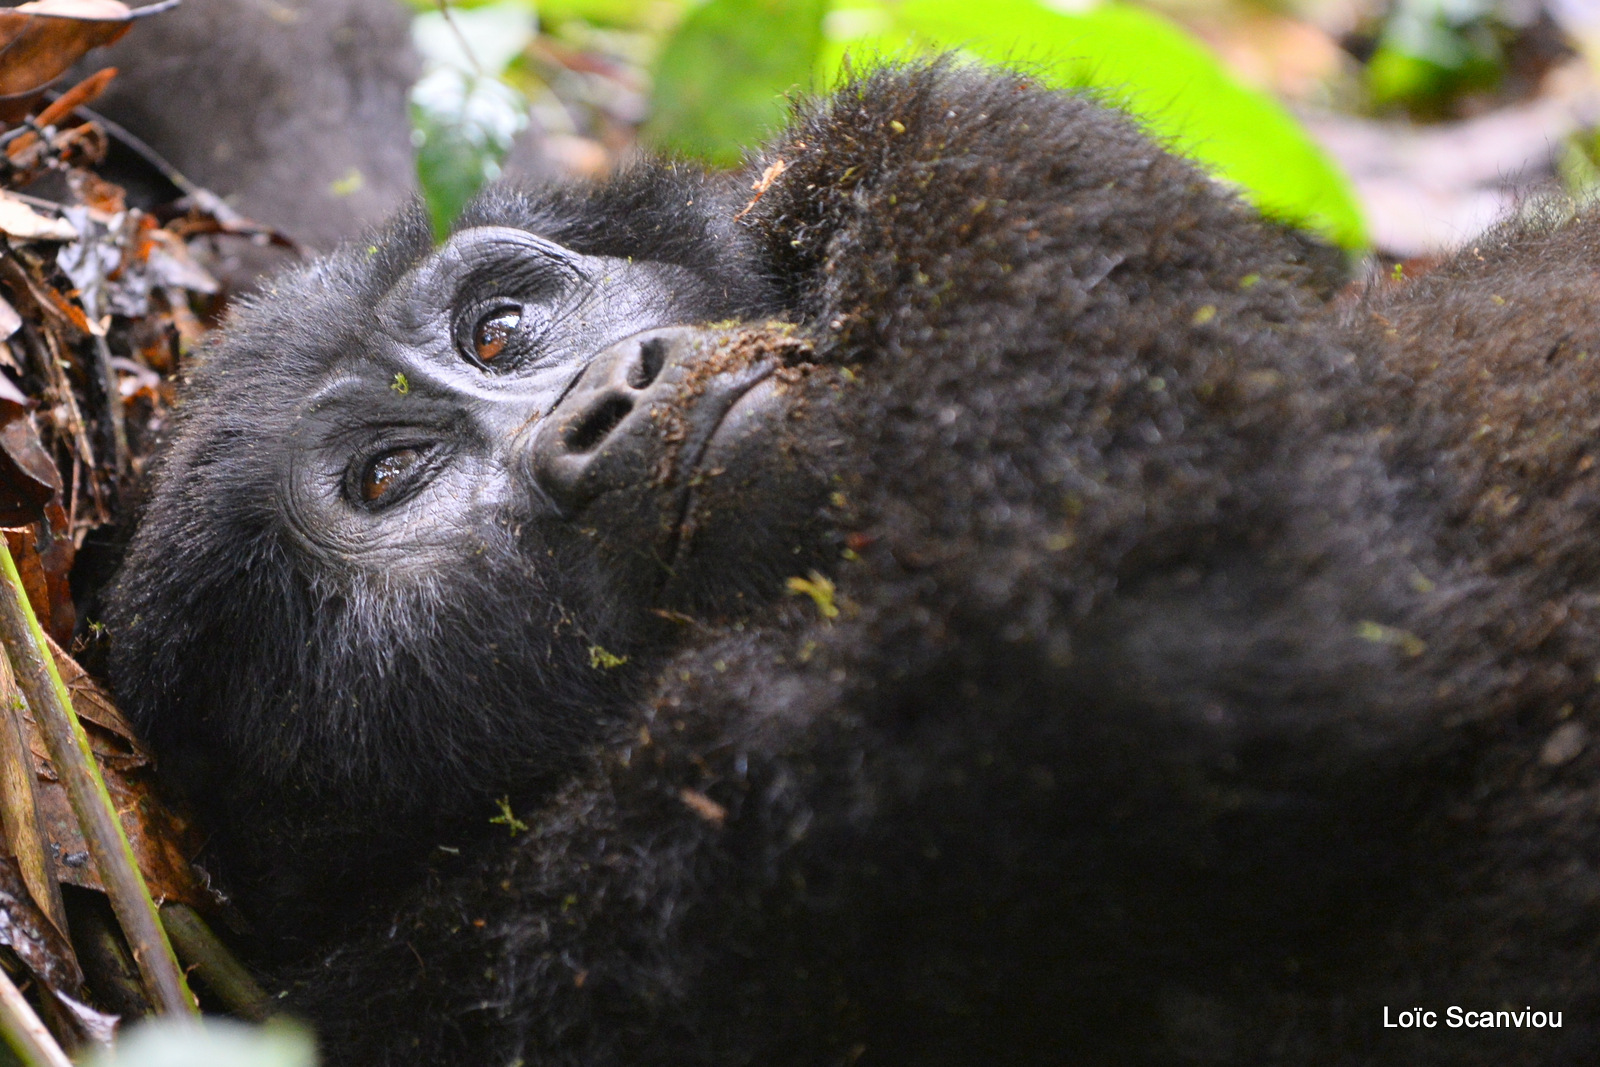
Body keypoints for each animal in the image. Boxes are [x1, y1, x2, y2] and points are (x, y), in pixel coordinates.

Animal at [103, 64, 1600, 1067]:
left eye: (501, 327)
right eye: (388, 479)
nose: (603, 395)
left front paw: (802, 183)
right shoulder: (560, 932)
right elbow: (1195, 609)